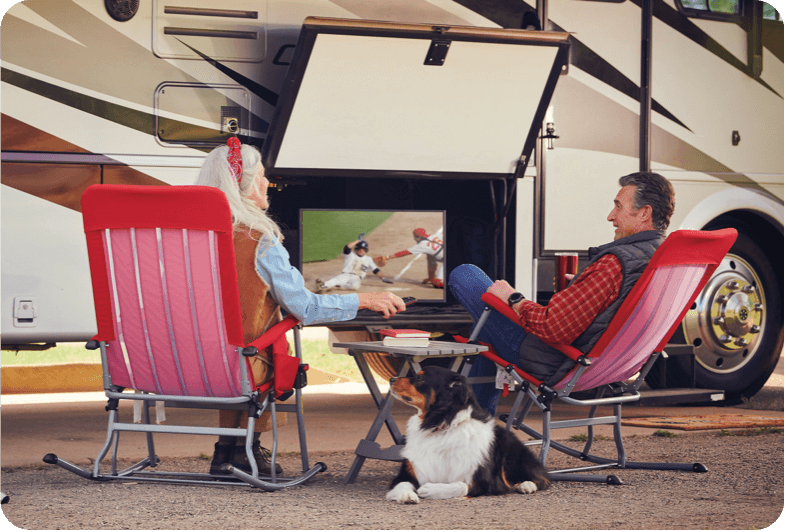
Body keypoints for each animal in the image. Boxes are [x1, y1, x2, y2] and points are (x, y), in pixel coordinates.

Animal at [384, 366, 544, 502]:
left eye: (421, 379)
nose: (391, 379)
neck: (440, 425)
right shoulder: (407, 472)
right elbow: (403, 484)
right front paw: (407, 495)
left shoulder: (486, 481)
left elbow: (461, 485)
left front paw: (430, 489)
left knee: (542, 477)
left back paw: (526, 485)